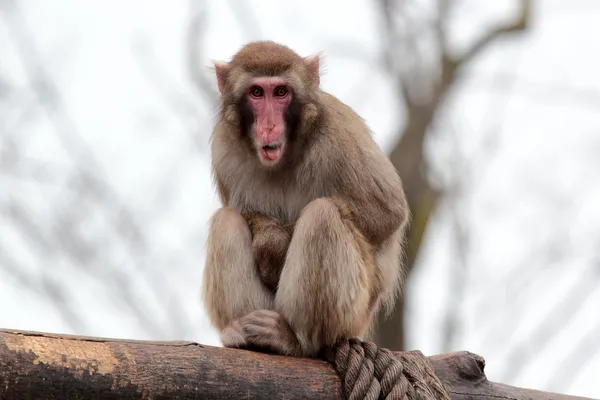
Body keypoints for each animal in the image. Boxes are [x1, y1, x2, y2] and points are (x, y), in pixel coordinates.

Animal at [202, 40, 408, 358]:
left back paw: (295, 339)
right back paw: (244, 334)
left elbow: (386, 213)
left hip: (355, 315)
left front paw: (275, 246)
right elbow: (238, 210)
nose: (269, 126)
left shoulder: (338, 131)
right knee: (227, 221)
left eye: (281, 92)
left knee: (323, 214)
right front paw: (269, 240)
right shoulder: (223, 146)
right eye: (257, 92)